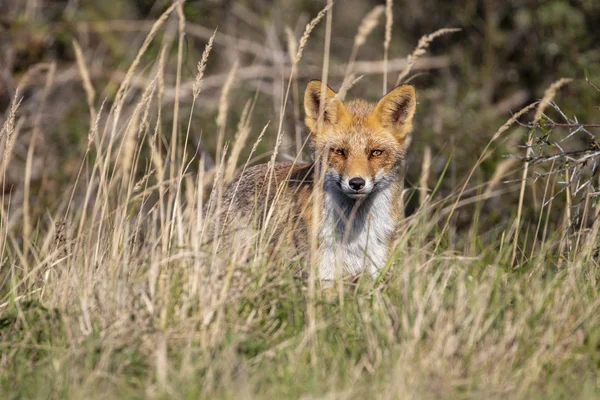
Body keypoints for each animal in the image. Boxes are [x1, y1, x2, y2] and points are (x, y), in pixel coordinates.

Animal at [218, 79, 420, 282]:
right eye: (339, 151)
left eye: (376, 152)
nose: (356, 183)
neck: (354, 235)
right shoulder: (321, 275)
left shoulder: (375, 273)